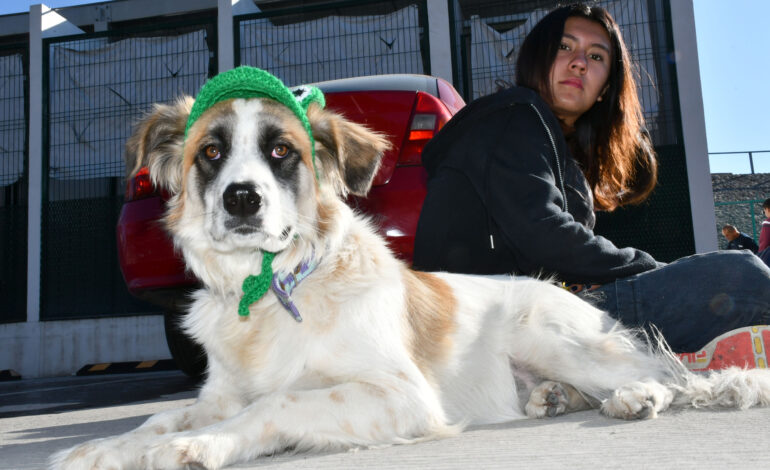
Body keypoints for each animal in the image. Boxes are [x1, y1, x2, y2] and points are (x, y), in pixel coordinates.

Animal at [51, 67, 768, 470]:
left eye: (282, 152)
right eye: (211, 153)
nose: (241, 199)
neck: (273, 289)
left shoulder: (399, 394)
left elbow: (277, 402)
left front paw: (195, 449)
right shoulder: (218, 395)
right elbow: (162, 416)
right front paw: (101, 450)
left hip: (551, 336)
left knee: (670, 378)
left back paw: (635, 397)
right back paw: (552, 399)